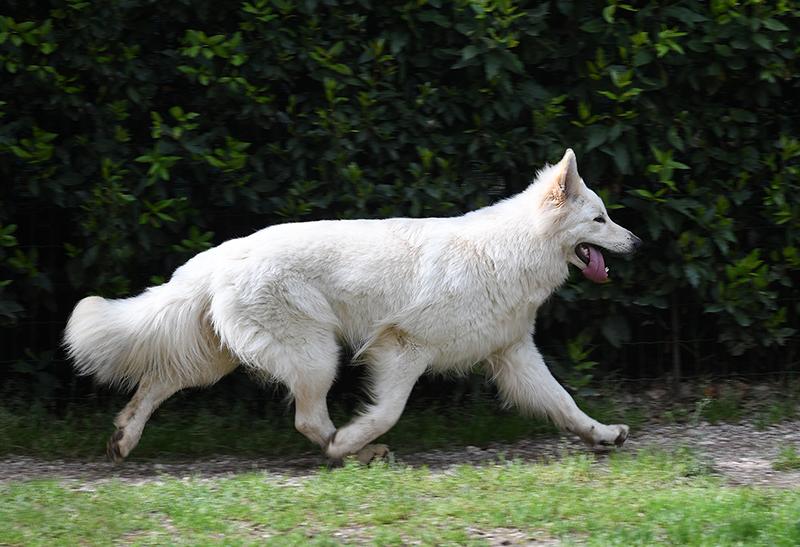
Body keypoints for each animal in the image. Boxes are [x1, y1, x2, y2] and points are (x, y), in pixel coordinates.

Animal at [67, 149, 644, 462]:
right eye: (600, 220)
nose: (637, 242)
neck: (512, 250)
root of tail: (217, 257)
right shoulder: (403, 350)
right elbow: (387, 411)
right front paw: (354, 439)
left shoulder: (513, 356)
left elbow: (565, 403)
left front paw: (603, 434)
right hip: (316, 354)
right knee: (307, 421)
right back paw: (350, 450)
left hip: (220, 357)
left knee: (156, 381)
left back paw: (124, 437)